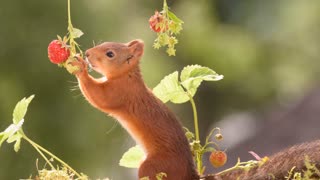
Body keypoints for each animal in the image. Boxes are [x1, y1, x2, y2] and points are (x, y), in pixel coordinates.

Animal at [71, 39, 199, 180]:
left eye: (110, 54)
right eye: (103, 42)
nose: (87, 53)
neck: (127, 74)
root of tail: (188, 171)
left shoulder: (119, 92)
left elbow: (99, 96)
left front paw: (79, 67)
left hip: (155, 166)